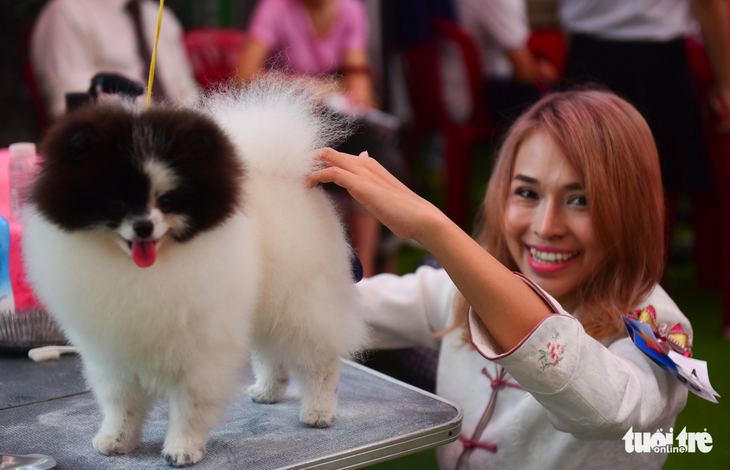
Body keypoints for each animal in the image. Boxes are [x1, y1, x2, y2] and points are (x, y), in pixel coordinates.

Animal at [22, 79, 366, 464]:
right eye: (115, 203)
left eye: (169, 201)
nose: (143, 226)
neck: (144, 271)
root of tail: (279, 171)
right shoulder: (113, 353)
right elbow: (121, 404)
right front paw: (117, 440)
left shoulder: (200, 351)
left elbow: (190, 406)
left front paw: (182, 449)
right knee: (271, 353)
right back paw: (267, 390)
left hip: (301, 301)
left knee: (321, 362)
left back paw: (319, 411)